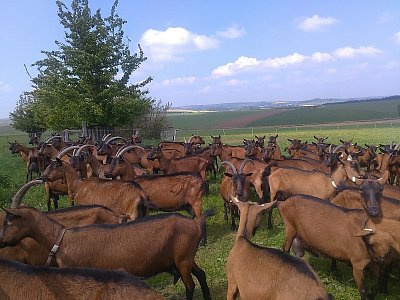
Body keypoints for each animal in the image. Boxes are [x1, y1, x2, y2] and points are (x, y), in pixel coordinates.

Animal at [0, 206, 212, 300]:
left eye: (9, 220)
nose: (2, 241)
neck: (63, 238)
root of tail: (195, 223)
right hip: (185, 258)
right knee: (201, 274)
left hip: (183, 260)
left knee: (190, 285)